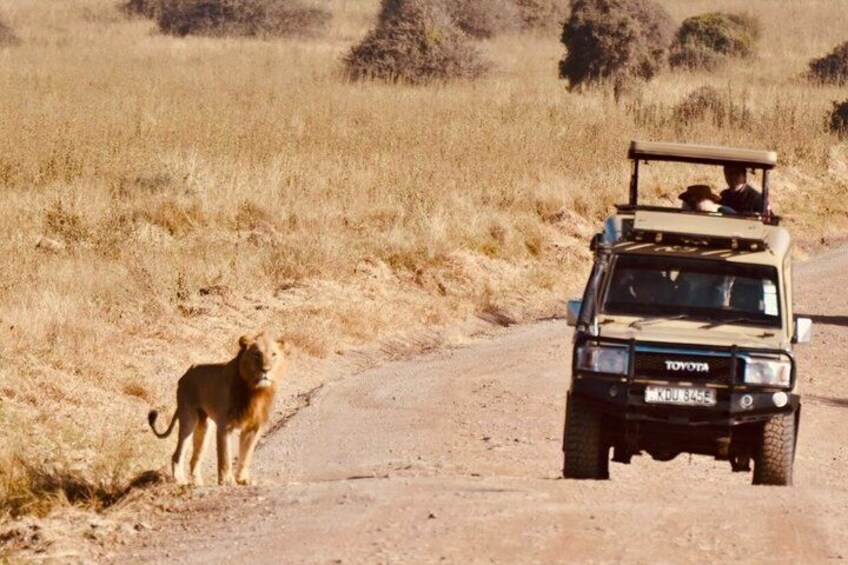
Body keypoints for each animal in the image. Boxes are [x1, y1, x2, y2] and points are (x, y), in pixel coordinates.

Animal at [148, 332, 289, 486]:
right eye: (257, 354)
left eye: (274, 354)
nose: (266, 370)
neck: (255, 390)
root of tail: (185, 374)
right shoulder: (224, 426)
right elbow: (225, 456)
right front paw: (227, 481)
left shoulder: (254, 427)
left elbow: (246, 455)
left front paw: (242, 479)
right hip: (189, 417)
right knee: (177, 455)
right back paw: (181, 480)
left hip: (205, 427)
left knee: (194, 459)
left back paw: (198, 483)